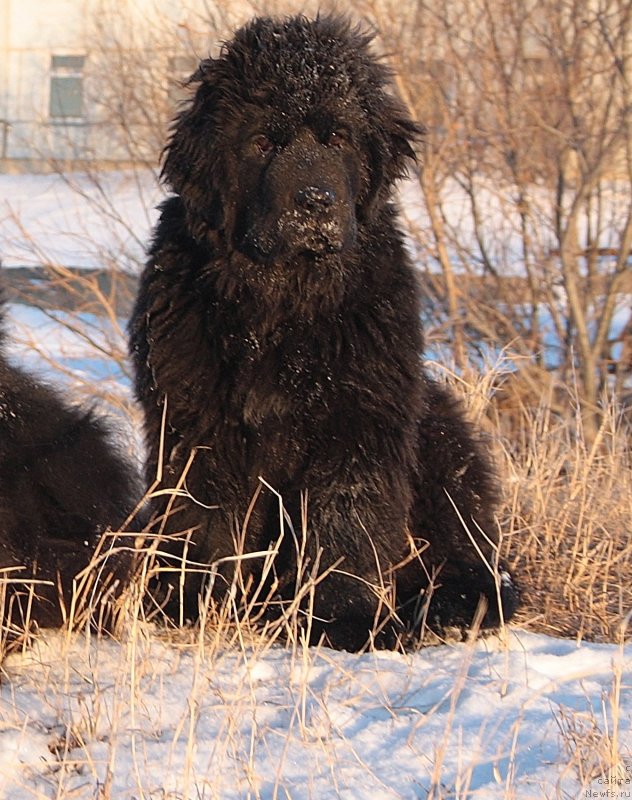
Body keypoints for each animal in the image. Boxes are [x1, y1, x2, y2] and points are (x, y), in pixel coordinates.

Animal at [130, 12, 520, 648]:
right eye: (263, 143)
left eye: (337, 139)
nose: (315, 202)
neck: (283, 302)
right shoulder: (197, 418)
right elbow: (203, 517)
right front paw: (190, 605)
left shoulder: (358, 416)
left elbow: (345, 520)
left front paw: (344, 618)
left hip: (439, 430)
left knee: (466, 552)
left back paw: (456, 602)